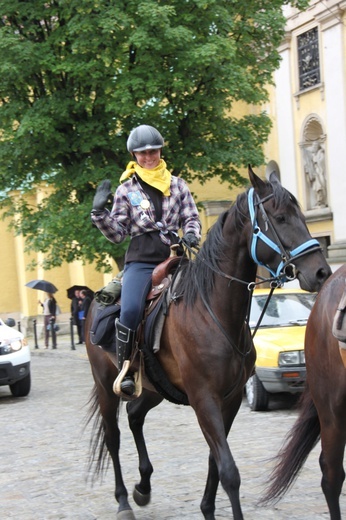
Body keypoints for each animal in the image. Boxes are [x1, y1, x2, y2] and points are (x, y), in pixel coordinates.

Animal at [85, 168, 332, 520]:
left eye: (302, 216)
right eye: (281, 218)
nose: (322, 272)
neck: (213, 311)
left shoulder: (230, 400)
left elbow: (216, 462)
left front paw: (206, 508)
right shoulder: (205, 400)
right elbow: (228, 470)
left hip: (153, 388)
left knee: (134, 415)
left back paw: (143, 487)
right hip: (107, 386)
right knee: (113, 437)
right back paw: (122, 501)